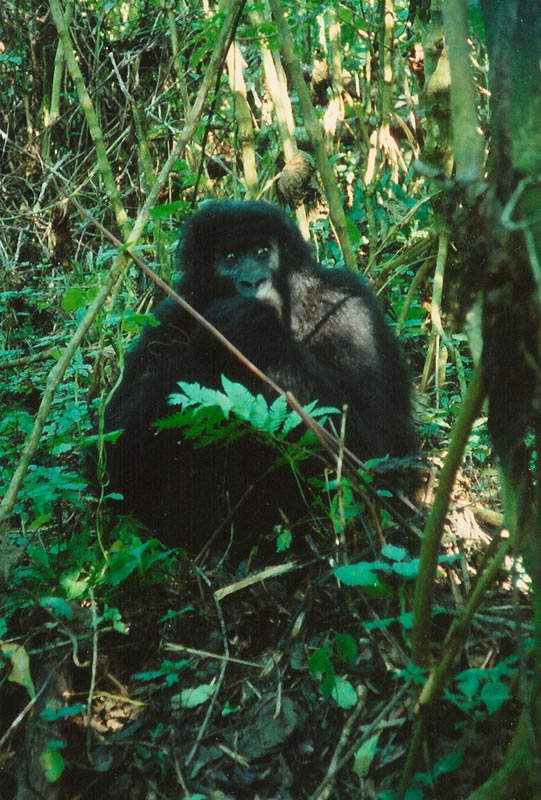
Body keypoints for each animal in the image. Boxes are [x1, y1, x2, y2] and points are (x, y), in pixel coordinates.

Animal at [96, 200, 418, 552]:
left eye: (263, 251)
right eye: (230, 258)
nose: (252, 282)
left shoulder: (347, 307)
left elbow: (373, 446)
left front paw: (250, 325)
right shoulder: (170, 316)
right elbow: (113, 450)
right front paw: (225, 332)